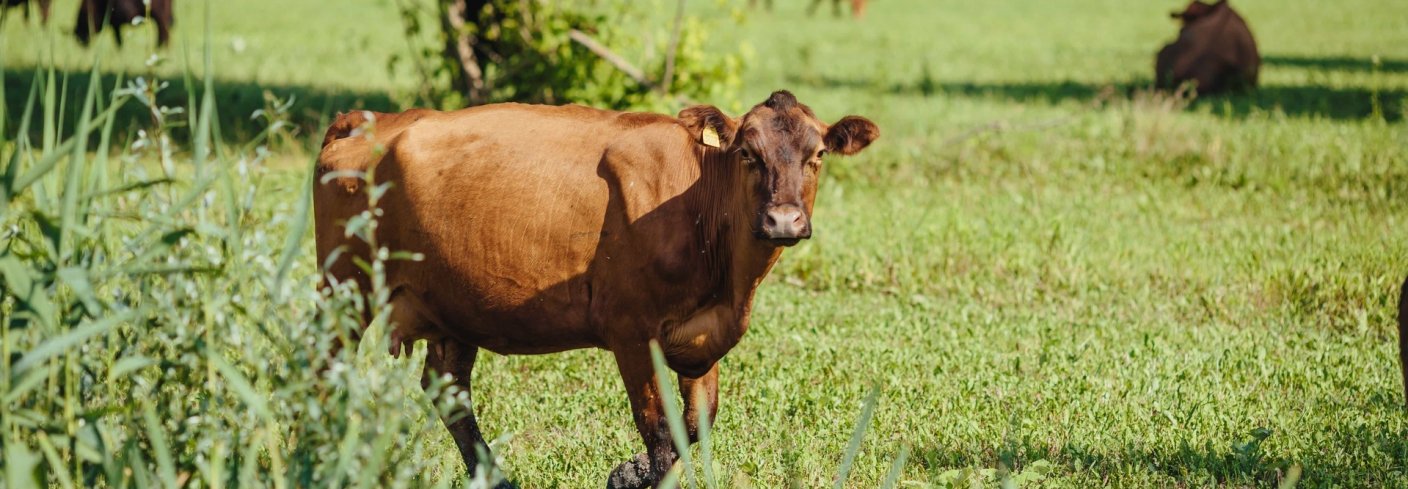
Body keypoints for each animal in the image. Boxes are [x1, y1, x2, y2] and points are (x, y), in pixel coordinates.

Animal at [313, 90, 872, 487]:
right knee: (324, 369)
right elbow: (661, 434)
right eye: (748, 154)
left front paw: (628, 472)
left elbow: (696, 426)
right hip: (344, 287)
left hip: (452, 305)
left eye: (819, 153)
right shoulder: (631, 333)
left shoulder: (701, 339)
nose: (784, 220)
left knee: (449, 391)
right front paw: (632, 473)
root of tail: (370, 119)